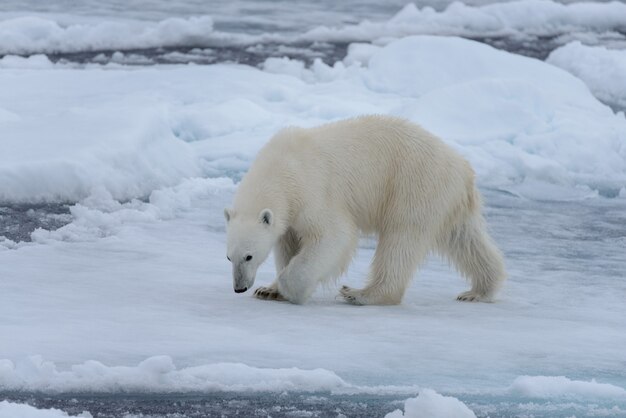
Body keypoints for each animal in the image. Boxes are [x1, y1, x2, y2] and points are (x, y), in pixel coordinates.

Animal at [222, 116, 504, 306]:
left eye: (248, 256)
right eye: (228, 257)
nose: (239, 288)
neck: (282, 168)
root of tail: (462, 168)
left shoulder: (313, 191)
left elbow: (334, 235)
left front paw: (292, 289)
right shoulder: (290, 213)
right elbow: (288, 243)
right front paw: (269, 290)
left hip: (414, 185)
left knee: (401, 240)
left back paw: (361, 294)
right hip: (447, 200)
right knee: (465, 239)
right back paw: (479, 291)